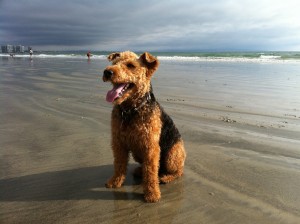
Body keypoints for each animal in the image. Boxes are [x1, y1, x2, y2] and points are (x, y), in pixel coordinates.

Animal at [104, 51, 186, 203]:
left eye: (131, 65)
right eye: (114, 63)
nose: (107, 72)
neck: (130, 110)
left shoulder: (150, 146)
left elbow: (151, 172)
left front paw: (152, 194)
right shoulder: (118, 143)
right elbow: (119, 164)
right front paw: (114, 182)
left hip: (172, 155)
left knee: (177, 172)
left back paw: (165, 177)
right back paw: (139, 171)